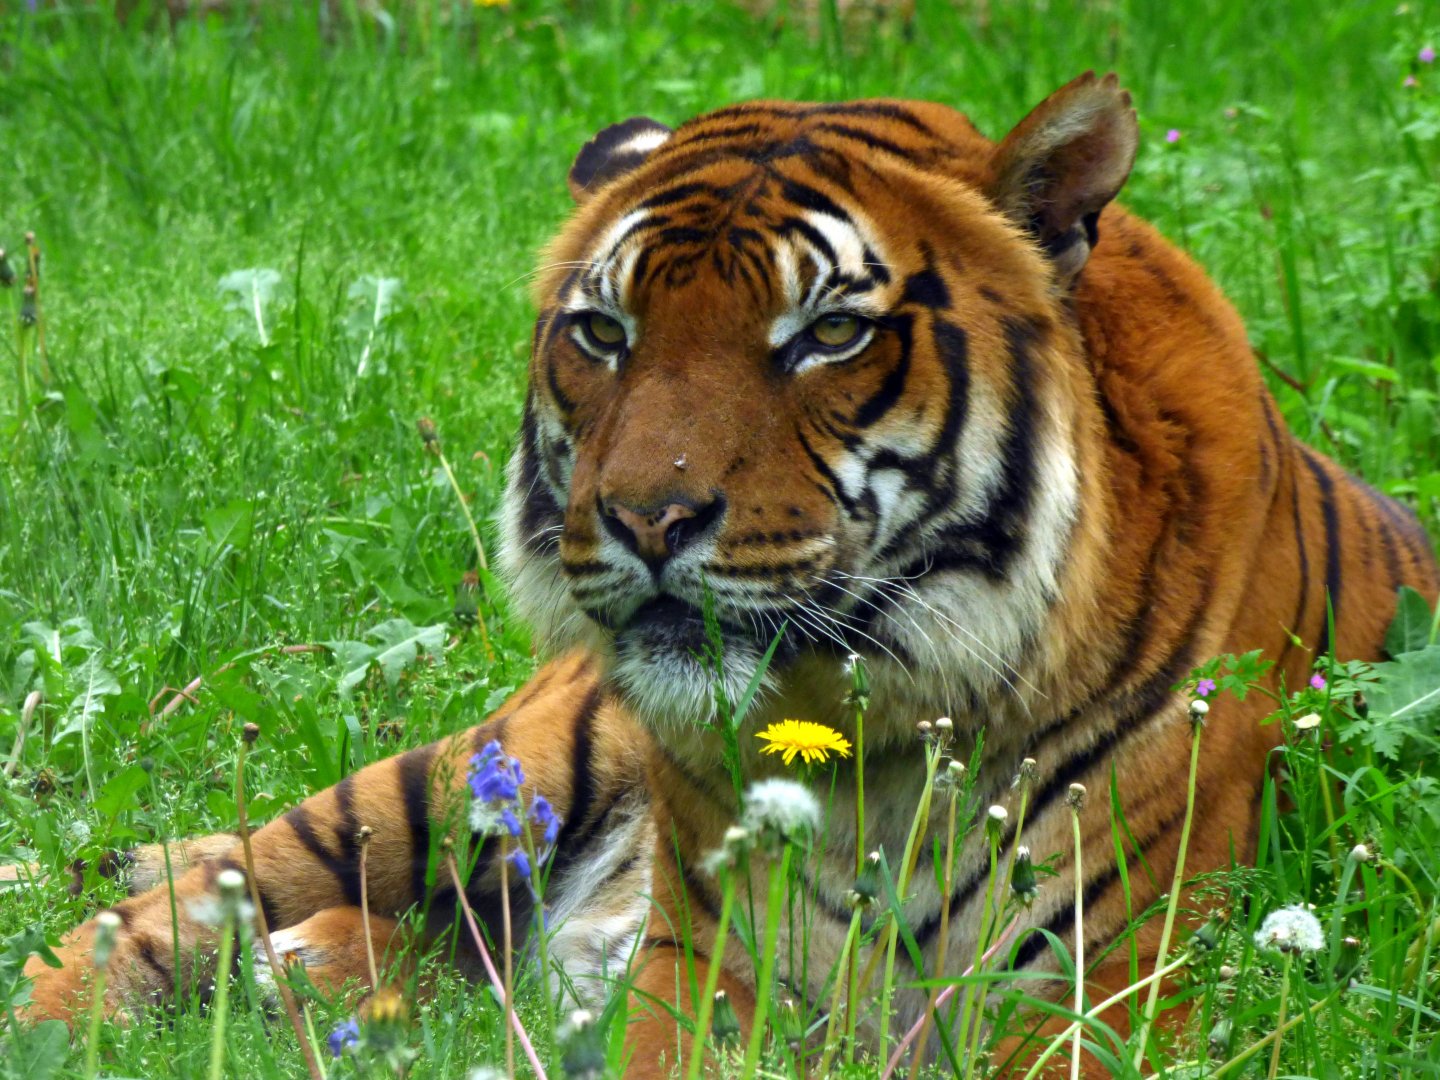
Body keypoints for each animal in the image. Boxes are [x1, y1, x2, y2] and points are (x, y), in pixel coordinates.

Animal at [14, 72, 1440, 1077]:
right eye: (604, 330)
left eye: (829, 333)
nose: (648, 518)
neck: (874, 743)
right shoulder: (699, 973)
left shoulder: (1116, 998)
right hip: (467, 782)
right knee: (155, 918)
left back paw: (315, 978)